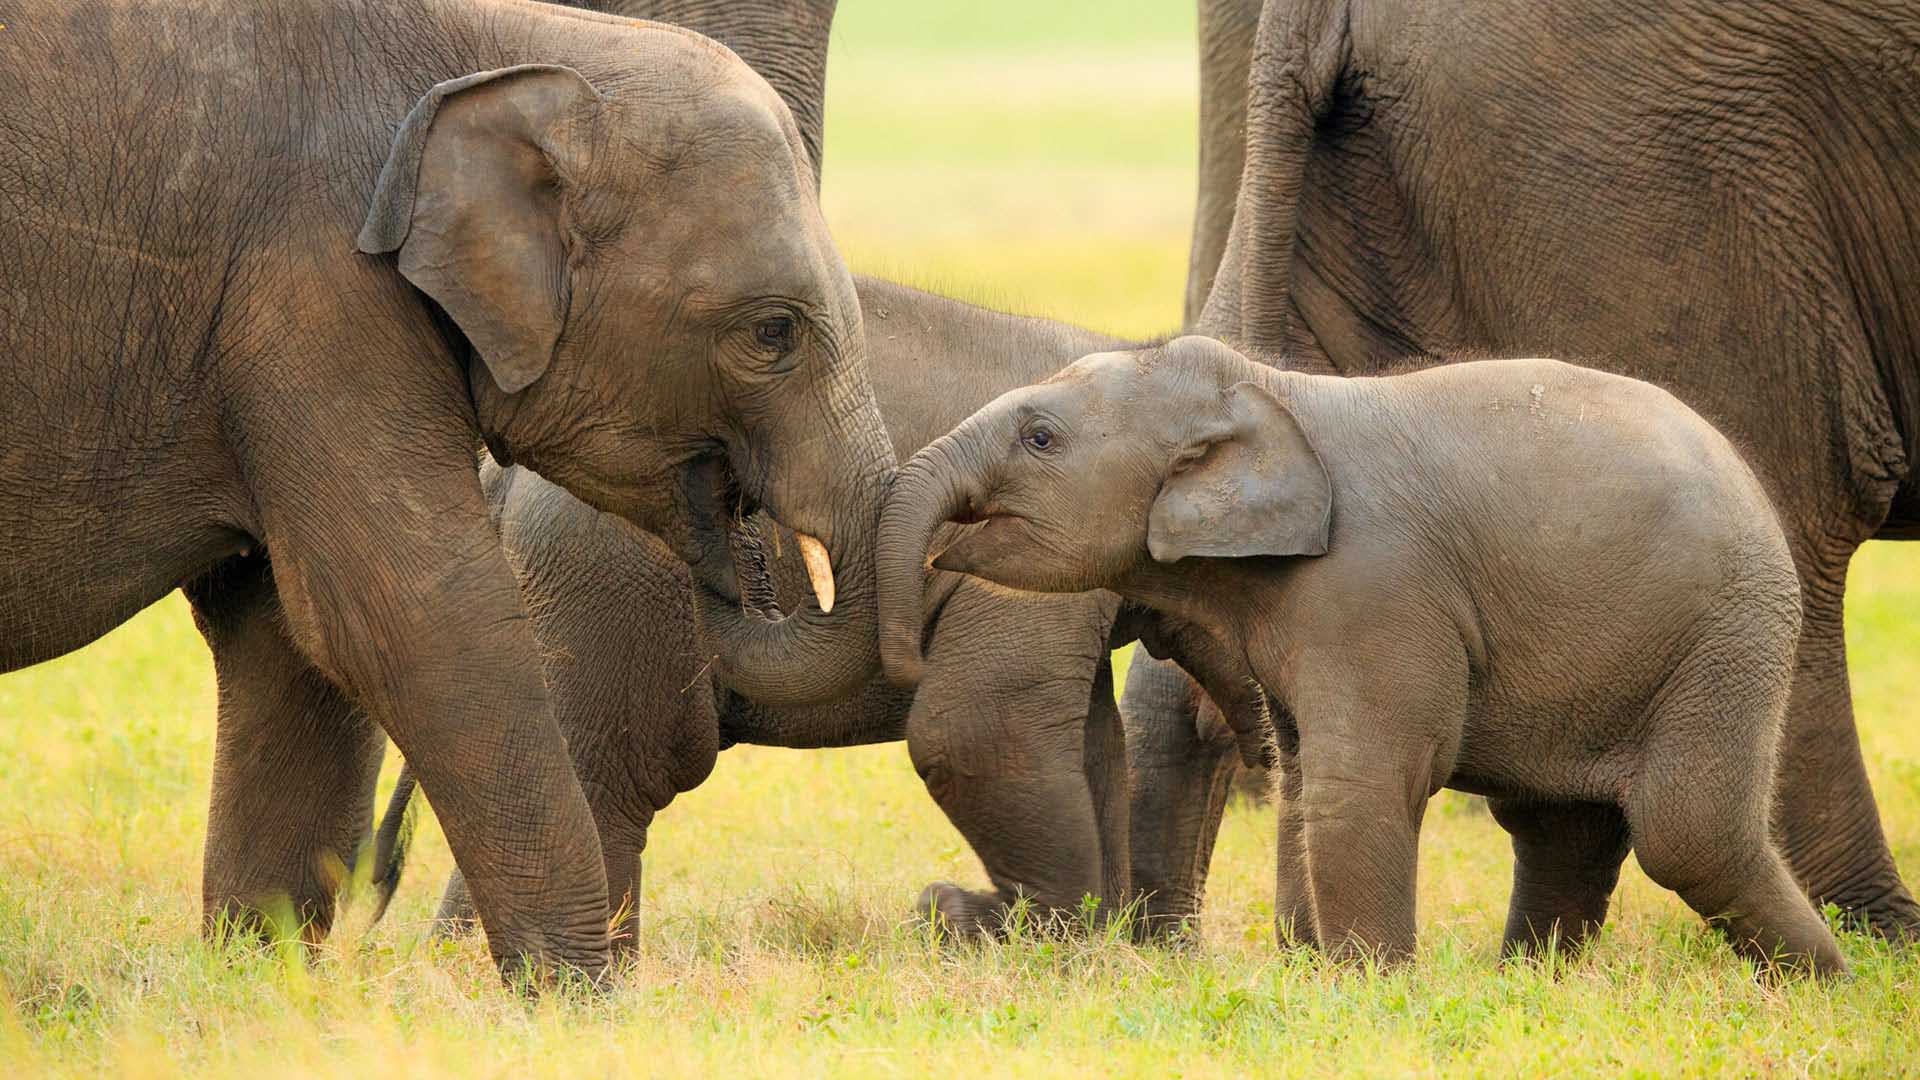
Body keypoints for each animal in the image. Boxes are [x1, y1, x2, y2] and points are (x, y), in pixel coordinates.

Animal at [0, 0, 890, 976]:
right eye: (774, 331)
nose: (736, 534)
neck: (516, 44)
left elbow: (283, 636)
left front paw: (260, 983)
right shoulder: (320, 288)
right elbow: (414, 619)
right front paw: (580, 995)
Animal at [879, 332, 1843, 972]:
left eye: (1040, 439)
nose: (907, 654)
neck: (1268, 391)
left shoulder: (1375, 587)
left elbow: (1361, 780)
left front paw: (1368, 987)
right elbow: (1306, 780)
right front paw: (1318, 974)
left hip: (1729, 632)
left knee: (1688, 834)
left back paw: (1822, 985)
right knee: (1560, 828)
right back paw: (1530, 982)